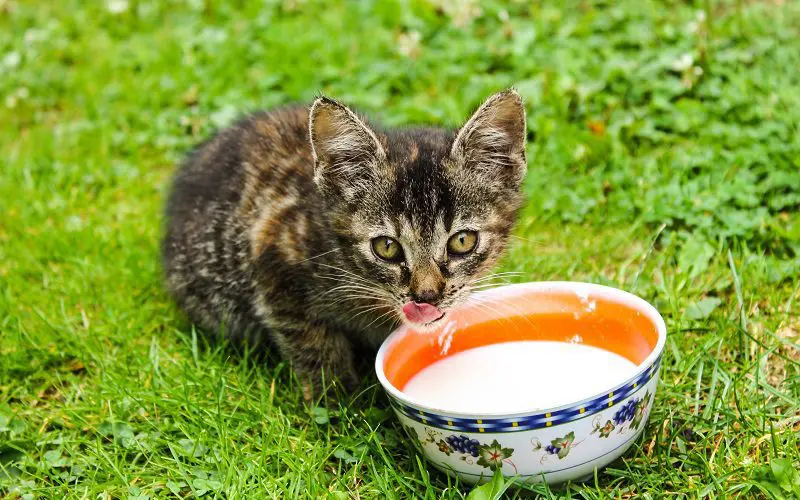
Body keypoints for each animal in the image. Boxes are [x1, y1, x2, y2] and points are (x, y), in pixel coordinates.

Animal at [163, 90, 528, 394]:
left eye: (462, 241)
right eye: (386, 247)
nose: (426, 297)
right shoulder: (274, 256)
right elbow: (313, 343)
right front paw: (338, 402)